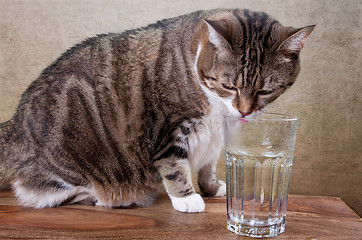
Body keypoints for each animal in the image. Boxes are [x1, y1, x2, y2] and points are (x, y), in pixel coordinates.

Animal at [0, 8, 312, 212]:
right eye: (229, 86)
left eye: (265, 91)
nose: (244, 112)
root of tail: (14, 124)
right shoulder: (169, 130)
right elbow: (175, 167)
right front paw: (187, 198)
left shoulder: (214, 139)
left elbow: (208, 166)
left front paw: (212, 188)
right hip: (68, 166)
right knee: (44, 193)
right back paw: (113, 197)